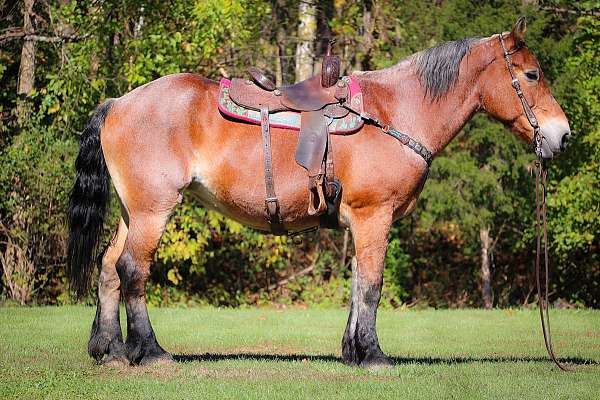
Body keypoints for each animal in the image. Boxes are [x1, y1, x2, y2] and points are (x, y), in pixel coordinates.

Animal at [68, 18, 568, 368]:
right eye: (532, 74)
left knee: (109, 268)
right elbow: (372, 286)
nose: (562, 136)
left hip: (132, 212)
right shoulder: (373, 216)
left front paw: (353, 351)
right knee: (133, 270)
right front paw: (374, 355)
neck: (394, 113)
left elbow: (357, 285)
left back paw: (110, 349)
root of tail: (118, 102)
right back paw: (150, 351)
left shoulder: (362, 222)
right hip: (154, 210)